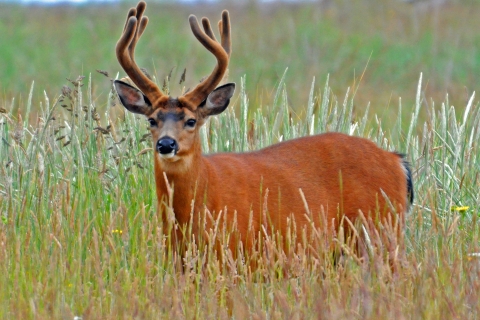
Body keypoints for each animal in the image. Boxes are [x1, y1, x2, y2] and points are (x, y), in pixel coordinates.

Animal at [113, 1, 412, 268]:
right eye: (152, 120)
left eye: (191, 121)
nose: (166, 144)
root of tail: (396, 160)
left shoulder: (236, 252)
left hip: (380, 231)